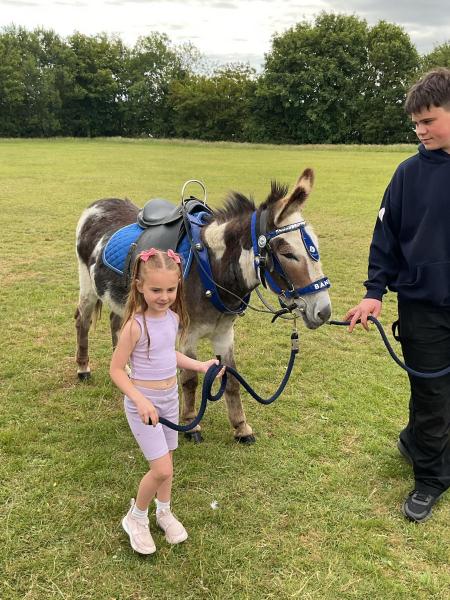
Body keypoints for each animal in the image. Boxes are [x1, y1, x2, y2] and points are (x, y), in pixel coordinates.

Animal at [75, 168, 331, 443]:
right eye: (287, 253)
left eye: (317, 247)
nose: (324, 311)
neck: (211, 268)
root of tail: (100, 203)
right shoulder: (188, 334)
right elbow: (190, 380)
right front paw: (191, 425)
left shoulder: (225, 334)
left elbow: (232, 379)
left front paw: (241, 428)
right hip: (87, 287)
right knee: (82, 321)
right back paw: (83, 368)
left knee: (116, 322)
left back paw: (125, 370)